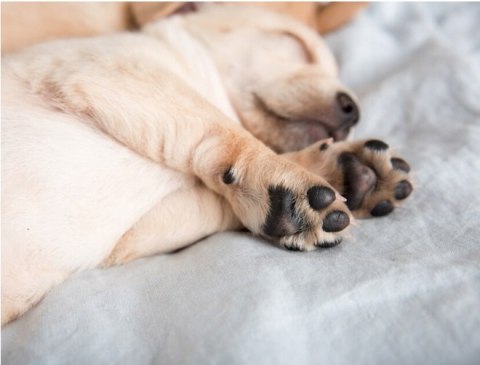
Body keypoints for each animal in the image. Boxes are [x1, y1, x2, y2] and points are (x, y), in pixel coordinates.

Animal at [0, 4, 412, 324]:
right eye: (295, 44)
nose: (353, 111)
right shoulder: (109, 67)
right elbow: (226, 130)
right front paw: (288, 177)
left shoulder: (133, 238)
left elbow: (218, 199)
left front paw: (345, 174)